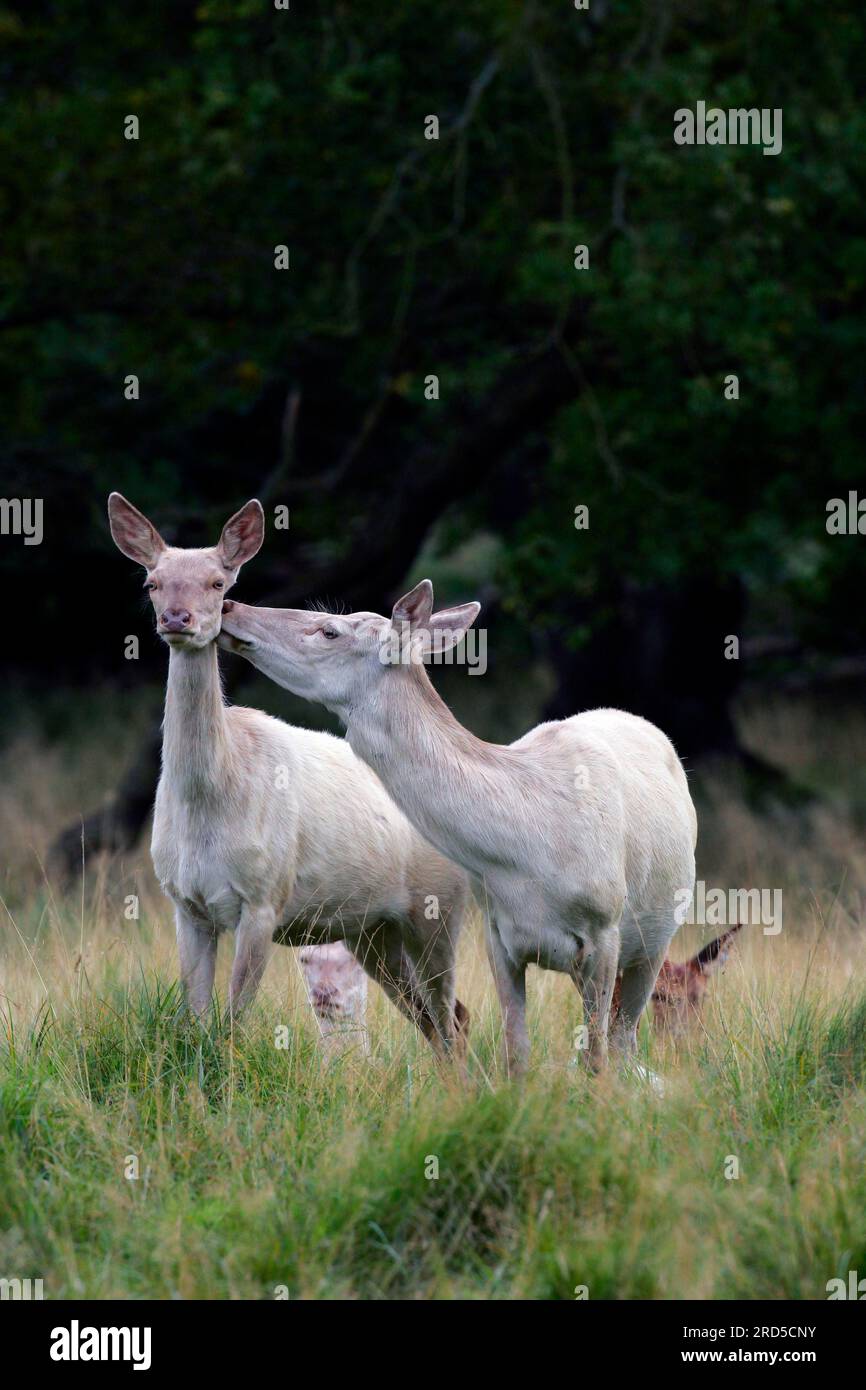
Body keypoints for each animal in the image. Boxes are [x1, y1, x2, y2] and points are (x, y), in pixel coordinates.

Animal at [111, 494, 475, 1045]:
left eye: (219, 582)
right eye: (151, 582)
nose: (178, 618)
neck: (208, 801)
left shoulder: (264, 897)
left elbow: (233, 1022)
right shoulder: (183, 903)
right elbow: (196, 1019)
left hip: (439, 907)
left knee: (451, 1016)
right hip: (371, 930)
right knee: (437, 1017)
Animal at [219, 581, 700, 1078]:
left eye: (329, 630)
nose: (230, 606)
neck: (532, 849)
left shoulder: (605, 932)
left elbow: (596, 1059)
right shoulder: (497, 935)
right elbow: (515, 1053)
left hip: (654, 941)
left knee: (624, 1041)